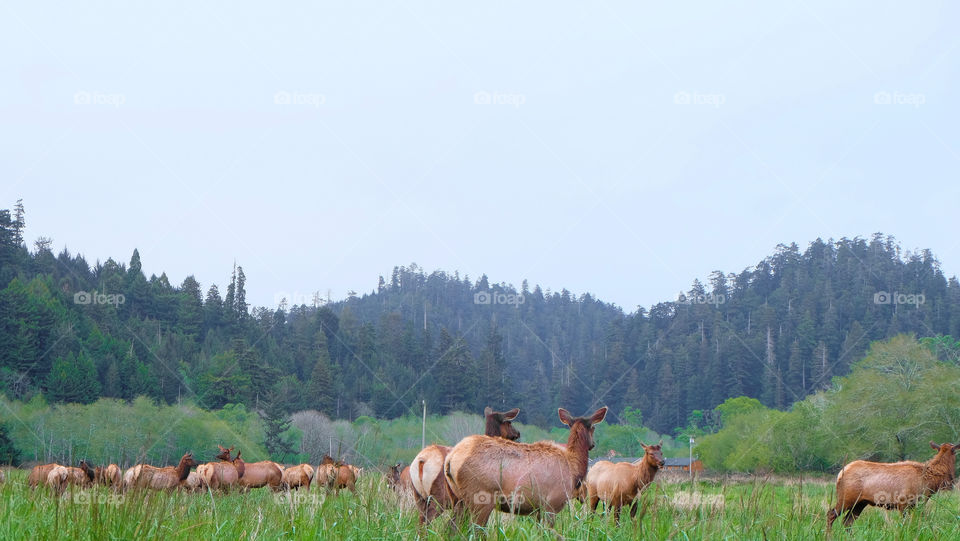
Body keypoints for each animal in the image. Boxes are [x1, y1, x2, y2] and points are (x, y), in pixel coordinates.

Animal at [444, 408, 608, 524]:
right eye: (593, 427)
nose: (593, 444)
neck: (573, 469)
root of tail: (450, 459)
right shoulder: (551, 504)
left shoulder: (538, 509)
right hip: (480, 497)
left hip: (458, 499)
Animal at [824, 438, 960, 528]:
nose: (952, 481)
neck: (930, 480)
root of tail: (840, 474)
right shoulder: (903, 502)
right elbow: (905, 525)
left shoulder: (918, 503)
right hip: (847, 498)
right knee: (830, 515)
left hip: (860, 503)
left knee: (847, 522)